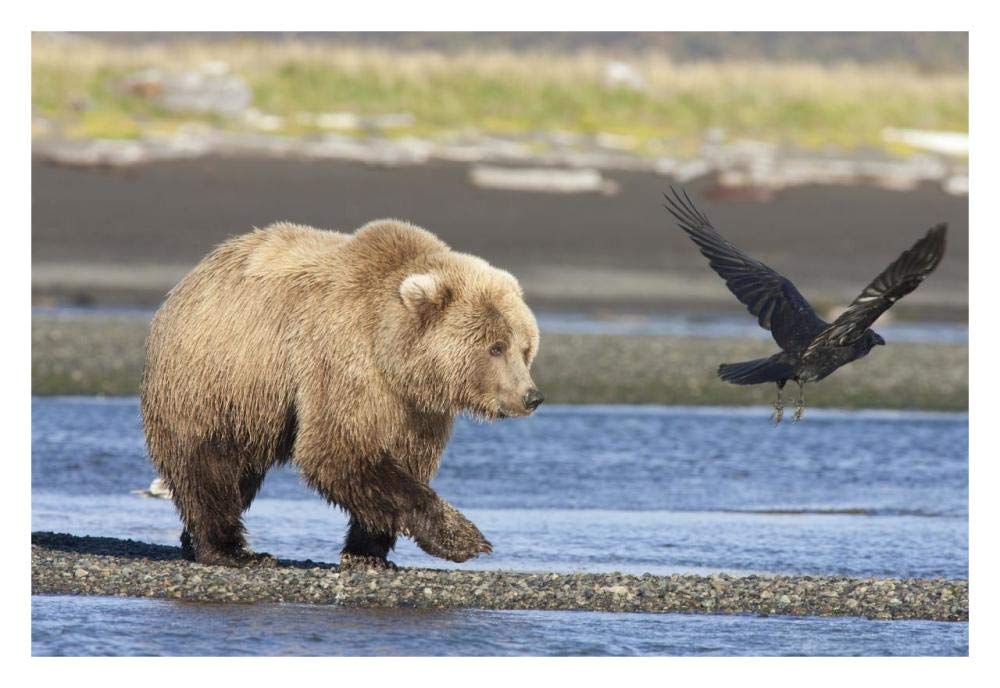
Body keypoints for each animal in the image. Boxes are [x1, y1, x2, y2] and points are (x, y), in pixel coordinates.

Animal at [140, 219, 543, 569]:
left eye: (525, 348)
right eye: (495, 347)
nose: (531, 396)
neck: (393, 355)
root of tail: (190, 278)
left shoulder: (414, 410)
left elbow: (402, 460)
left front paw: (368, 552)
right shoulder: (342, 365)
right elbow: (337, 453)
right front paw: (464, 539)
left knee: (240, 473)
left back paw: (194, 540)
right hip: (218, 378)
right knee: (210, 463)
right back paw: (230, 550)